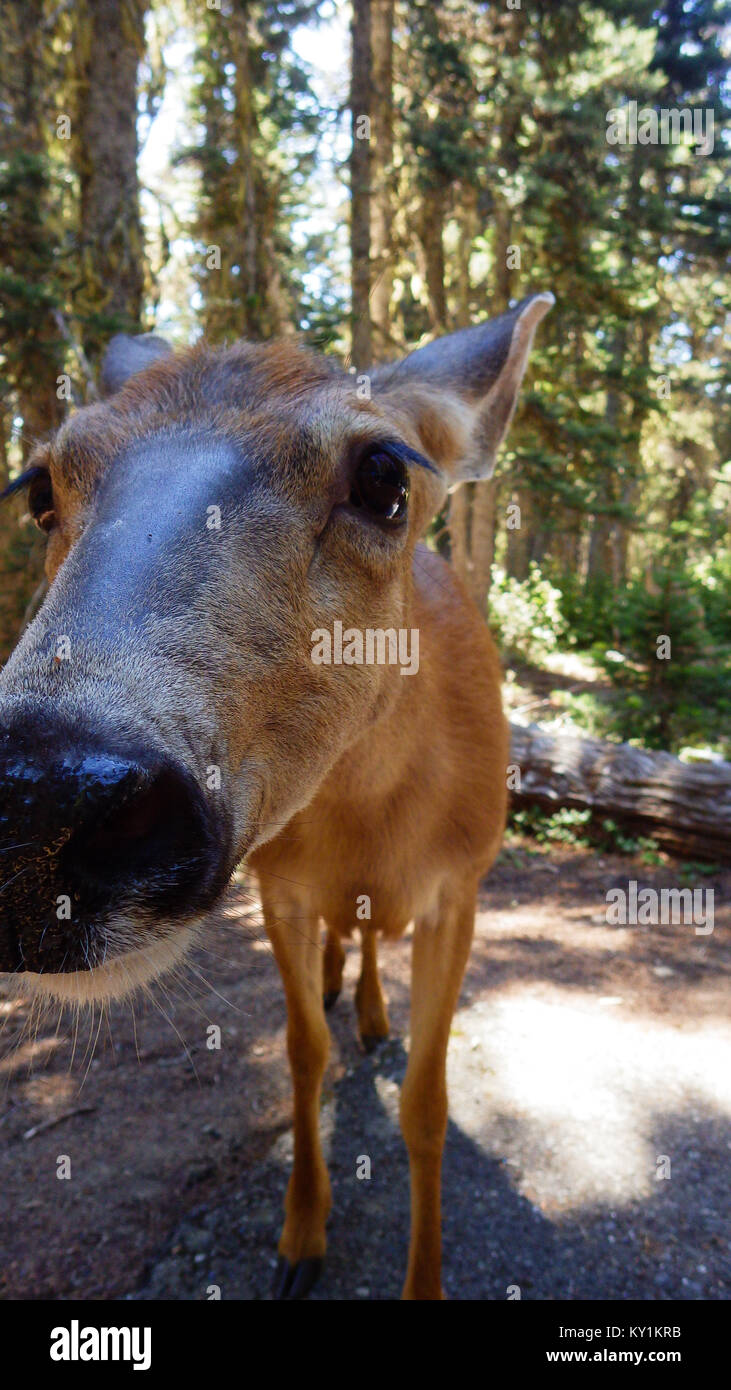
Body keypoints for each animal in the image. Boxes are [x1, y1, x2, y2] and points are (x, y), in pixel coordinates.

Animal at [0, 293, 550, 1301]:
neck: (373, 814)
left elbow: (426, 1101)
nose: (34, 806)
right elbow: (300, 1059)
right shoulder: (278, 886)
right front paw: (300, 1241)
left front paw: (422, 1277)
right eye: (40, 488)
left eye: (383, 475)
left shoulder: (463, 883)